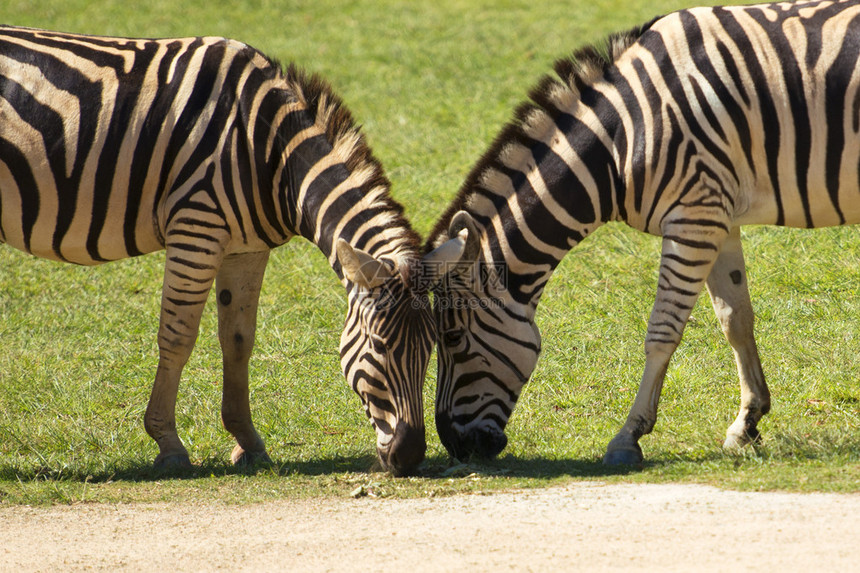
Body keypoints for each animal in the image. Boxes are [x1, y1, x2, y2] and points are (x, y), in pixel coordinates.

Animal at [0, 25, 434, 474]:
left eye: (434, 348)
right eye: (380, 346)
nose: (411, 455)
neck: (272, 152)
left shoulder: (245, 248)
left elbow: (239, 339)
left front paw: (248, 441)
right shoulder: (197, 226)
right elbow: (178, 336)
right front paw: (168, 443)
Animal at [426, 0, 860, 462]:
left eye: (452, 337)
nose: (455, 446)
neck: (618, 141)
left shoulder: (693, 215)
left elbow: (662, 332)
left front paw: (628, 435)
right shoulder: (718, 215)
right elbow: (735, 319)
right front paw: (747, 423)